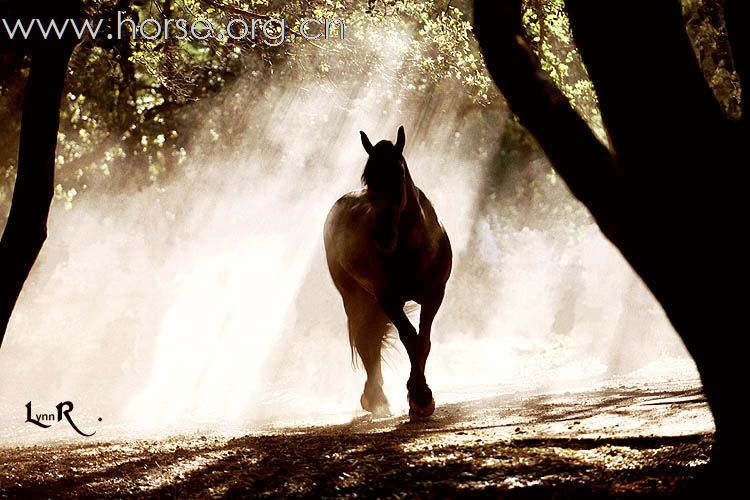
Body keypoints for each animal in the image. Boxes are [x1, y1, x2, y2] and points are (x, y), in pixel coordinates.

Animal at [324, 126, 452, 418]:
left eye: (399, 174)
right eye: (368, 178)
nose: (382, 238)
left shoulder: (434, 296)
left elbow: (423, 341)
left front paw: (420, 397)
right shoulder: (389, 299)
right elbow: (409, 338)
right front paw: (419, 396)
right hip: (354, 297)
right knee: (365, 341)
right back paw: (375, 397)